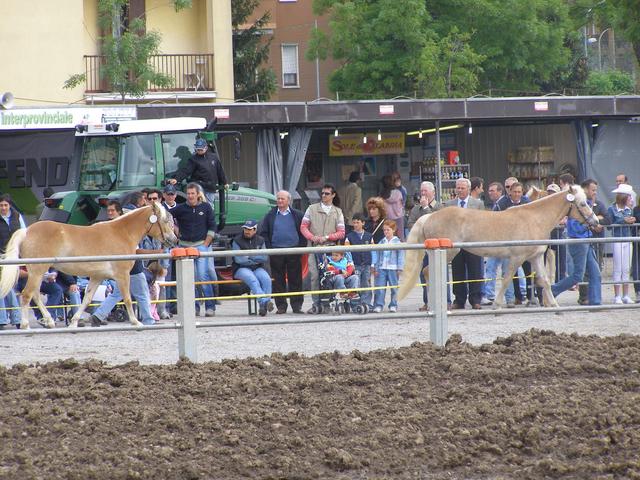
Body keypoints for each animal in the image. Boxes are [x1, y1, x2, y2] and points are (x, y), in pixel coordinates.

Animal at [0, 201, 176, 328]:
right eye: (166, 220)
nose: (174, 240)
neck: (122, 233)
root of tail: (27, 231)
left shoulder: (97, 277)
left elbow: (87, 299)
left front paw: (74, 322)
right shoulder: (122, 275)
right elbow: (126, 298)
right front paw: (136, 322)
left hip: (37, 272)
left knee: (35, 294)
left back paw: (49, 321)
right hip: (37, 271)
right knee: (26, 295)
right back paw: (25, 325)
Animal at [400, 186, 600, 310]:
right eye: (583, 203)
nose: (596, 222)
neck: (534, 218)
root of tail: (429, 216)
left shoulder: (534, 257)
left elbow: (544, 281)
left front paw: (554, 305)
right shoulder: (516, 258)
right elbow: (506, 280)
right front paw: (496, 304)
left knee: (427, 273)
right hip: (448, 252)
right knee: (427, 272)